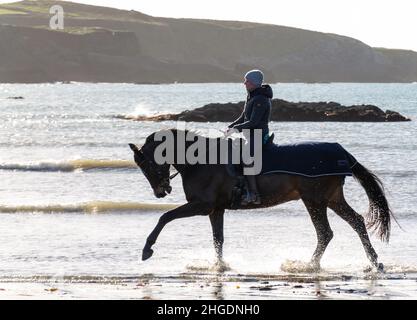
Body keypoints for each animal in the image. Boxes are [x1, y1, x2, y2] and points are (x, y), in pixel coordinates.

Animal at [129, 129, 390, 272]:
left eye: (147, 164)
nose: (161, 192)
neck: (201, 160)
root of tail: (341, 153)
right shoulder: (216, 210)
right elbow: (218, 239)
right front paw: (219, 266)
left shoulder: (202, 205)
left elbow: (165, 217)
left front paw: (147, 249)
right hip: (332, 199)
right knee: (356, 222)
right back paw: (374, 262)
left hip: (314, 201)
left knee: (325, 232)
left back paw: (308, 265)